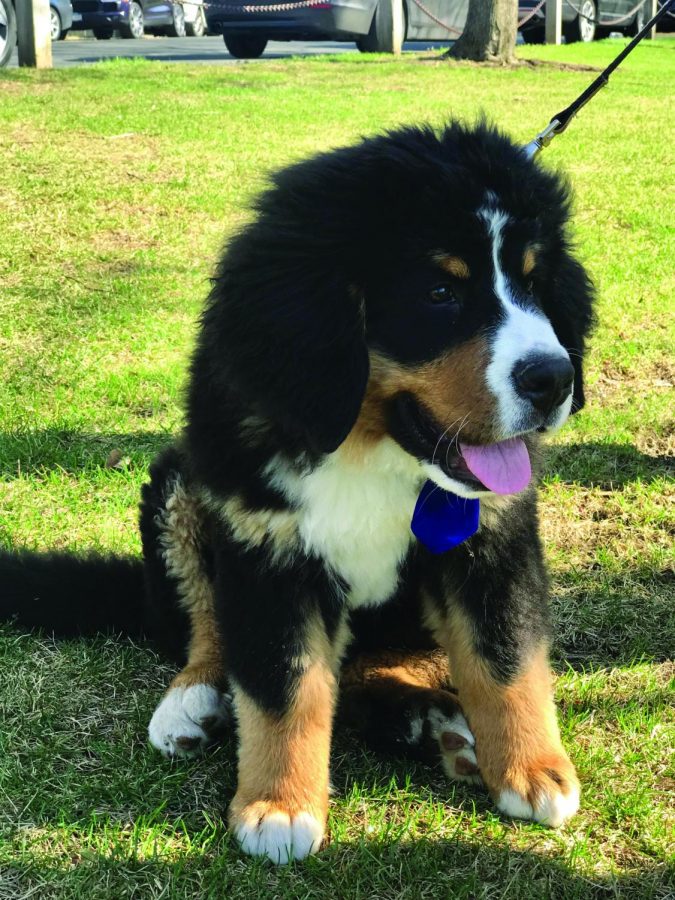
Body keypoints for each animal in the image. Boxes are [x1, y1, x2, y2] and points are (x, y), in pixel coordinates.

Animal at [0, 121, 592, 864]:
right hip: (181, 487)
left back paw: (433, 722)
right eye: (438, 293)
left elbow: (503, 656)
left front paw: (532, 769)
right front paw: (278, 807)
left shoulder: (491, 537)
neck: (367, 445)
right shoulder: (268, 549)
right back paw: (193, 701)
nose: (554, 380)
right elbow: (283, 686)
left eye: (536, 283)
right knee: (204, 626)